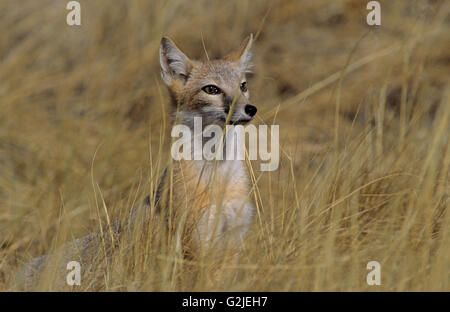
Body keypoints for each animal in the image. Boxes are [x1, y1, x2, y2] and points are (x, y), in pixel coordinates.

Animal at [14, 35, 256, 292]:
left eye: (243, 86)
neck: (221, 178)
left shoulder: (233, 242)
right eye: (212, 89)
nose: (251, 108)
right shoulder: (198, 246)